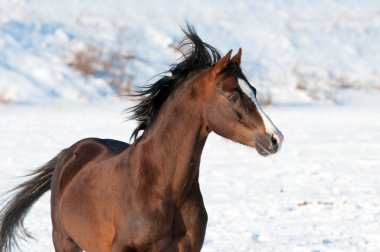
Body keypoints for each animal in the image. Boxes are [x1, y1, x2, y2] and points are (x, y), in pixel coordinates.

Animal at [0, 24, 282, 252]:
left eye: (254, 91)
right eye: (233, 96)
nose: (276, 138)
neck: (165, 189)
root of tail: (70, 152)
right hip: (64, 240)